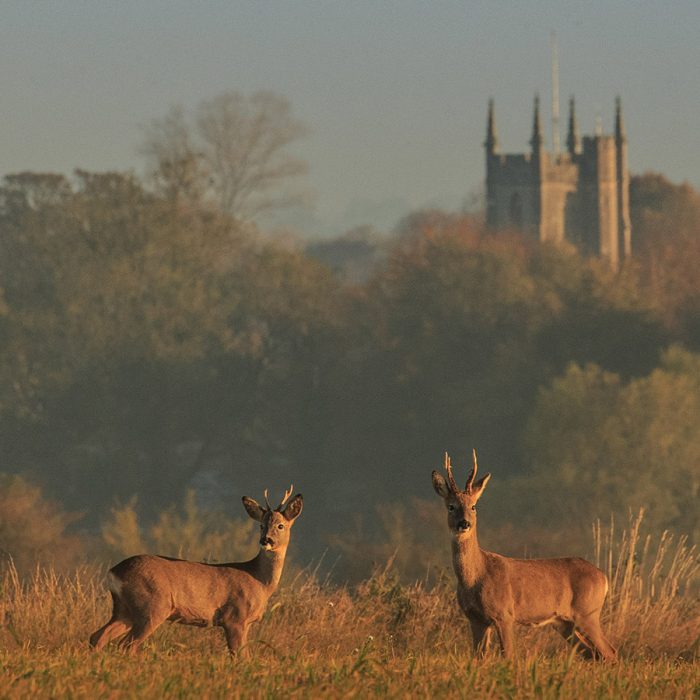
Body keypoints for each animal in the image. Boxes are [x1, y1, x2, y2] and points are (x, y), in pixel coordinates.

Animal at [89, 486, 302, 656]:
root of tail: (115, 571)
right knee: (126, 645)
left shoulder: (245, 623)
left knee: (97, 637)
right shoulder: (235, 618)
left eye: (280, 525)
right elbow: (241, 657)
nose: (266, 540)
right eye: (261, 525)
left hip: (124, 610)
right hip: (152, 606)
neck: (259, 580)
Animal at [430, 454, 616, 660]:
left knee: (610, 651)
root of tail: (603, 576)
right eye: (451, 507)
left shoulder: (504, 614)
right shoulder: (476, 619)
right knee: (593, 653)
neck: (475, 577)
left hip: (588, 613)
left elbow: (509, 655)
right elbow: (478, 657)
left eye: (473, 506)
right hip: (564, 622)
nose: (464, 523)